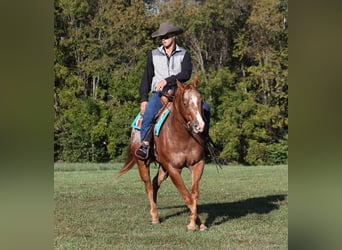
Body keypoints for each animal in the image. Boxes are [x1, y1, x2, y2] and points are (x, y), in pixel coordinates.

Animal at [116, 77, 207, 231]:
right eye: (185, 103)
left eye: (200, 101)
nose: (199, 125)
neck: (183, 137)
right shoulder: (173, 168)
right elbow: (186, 196)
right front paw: (191, 225)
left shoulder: (197, 164)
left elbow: (194, 195)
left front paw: (198, 222)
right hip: (142, 162)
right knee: (148, 186)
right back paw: (154, 216)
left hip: (163, 167)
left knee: (155, 183)